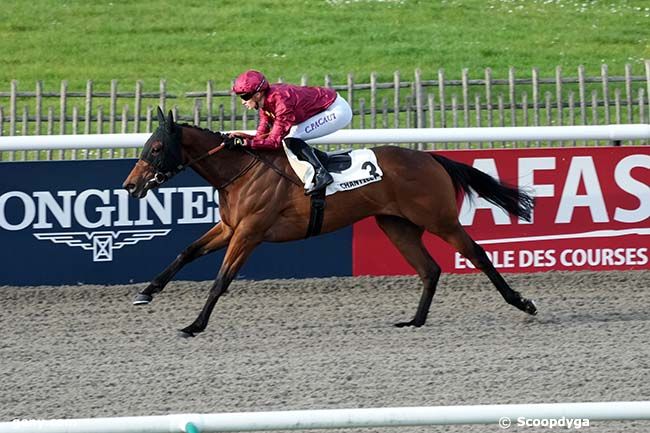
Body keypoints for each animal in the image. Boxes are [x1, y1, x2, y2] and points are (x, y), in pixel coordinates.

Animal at [123, 109, 536, 338]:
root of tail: (430, 157)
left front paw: (194, 325)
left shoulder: (249, 232)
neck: (240, 171)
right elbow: (187, 252)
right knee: (429, 269)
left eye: (156, 148)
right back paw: (414, 321)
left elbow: (220, 281)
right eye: (146, 144)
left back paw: (523, 303)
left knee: (477, 254)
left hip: (440, 219)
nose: (130, 185)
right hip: (396, 225)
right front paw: (146, 292)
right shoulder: (229, 228)